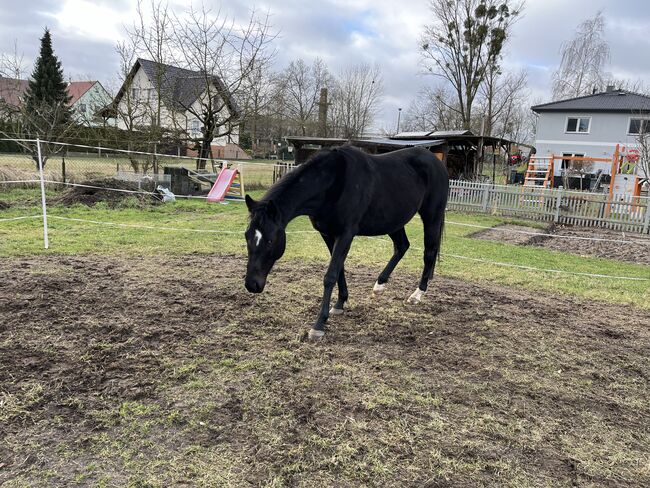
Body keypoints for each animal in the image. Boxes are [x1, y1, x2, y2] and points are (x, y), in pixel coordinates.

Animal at [242, 146, 446, 340]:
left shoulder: (345, 234)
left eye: (270, 240)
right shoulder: (328, 234)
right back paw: (379, 286)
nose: (252, 285)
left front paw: (319, 325)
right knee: (402, 246)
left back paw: (417, 295)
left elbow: (330, 275)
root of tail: (436, 161)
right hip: (394, 222)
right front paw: (340, 303)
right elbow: (339, 269)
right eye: (247, 236)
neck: (333, 183)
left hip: (432, 217)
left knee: (429, 253)